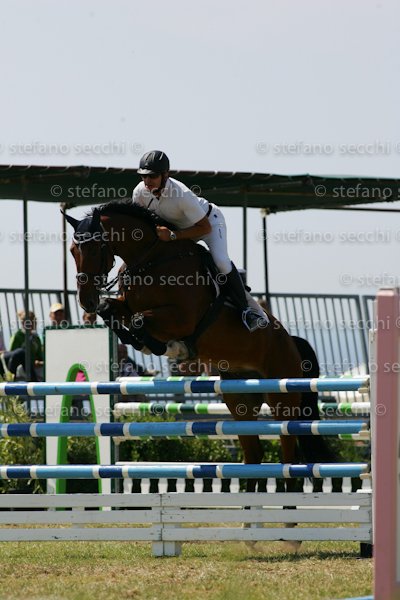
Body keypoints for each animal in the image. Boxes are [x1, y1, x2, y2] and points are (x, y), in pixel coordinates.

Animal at [66, 200, 336, 495]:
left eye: (94, 249)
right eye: (72, 250)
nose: (86, 301)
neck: (148, 260)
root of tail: (293, 343)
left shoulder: (182, 317)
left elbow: (139, 321)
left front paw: (168, 347)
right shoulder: (126, 305)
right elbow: (113, 310)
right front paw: (141, 340)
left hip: (282, 398)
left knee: (289, 459)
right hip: (241, 400)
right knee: (254, 456)